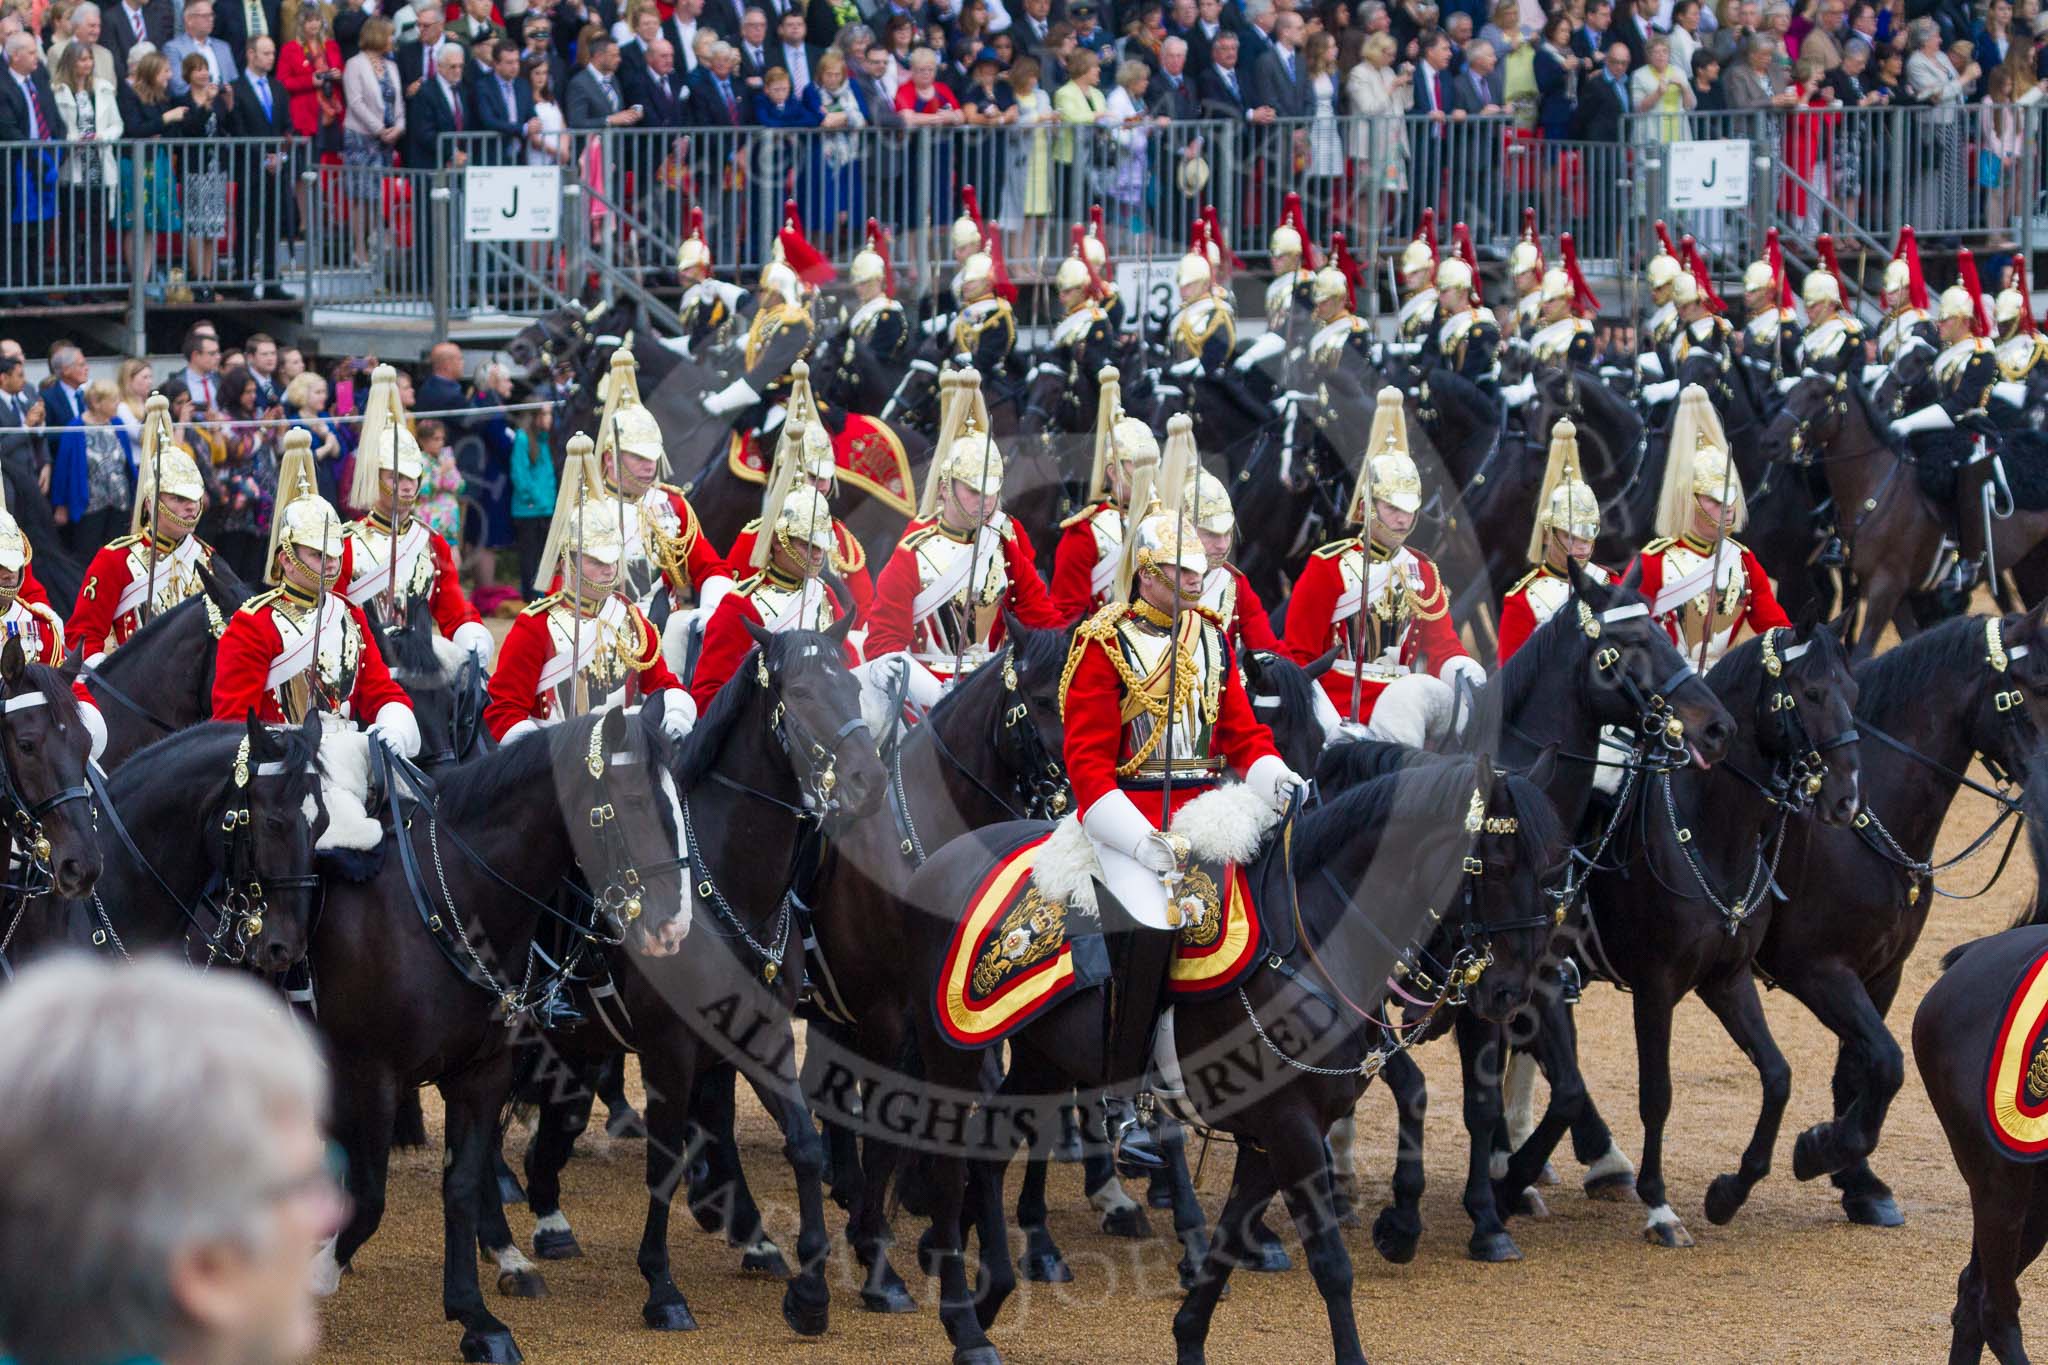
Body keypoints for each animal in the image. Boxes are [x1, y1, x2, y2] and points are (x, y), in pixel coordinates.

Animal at [303, 712, 688, 1365]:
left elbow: (458, 1186)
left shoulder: (481, 1073)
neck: (444, 897)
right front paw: (319, 1271)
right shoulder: (371, 1073)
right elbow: (370, 1196)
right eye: (635, 801)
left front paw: (475, 1319)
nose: (676, 928)